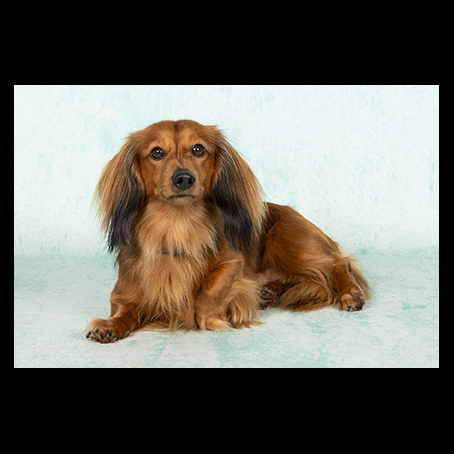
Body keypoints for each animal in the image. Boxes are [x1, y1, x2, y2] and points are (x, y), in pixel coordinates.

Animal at [86, 120, 371, 343]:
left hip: (288, 243)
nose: (183, 178)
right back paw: (267, 293)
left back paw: (350, 293)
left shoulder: (233, 262)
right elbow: (123, 310)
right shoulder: (124, 291)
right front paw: (109, 326)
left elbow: (211, 290)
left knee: (337, 262)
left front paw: (210, 319)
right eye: (156, 152)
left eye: (198, 149)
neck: (177, 229)